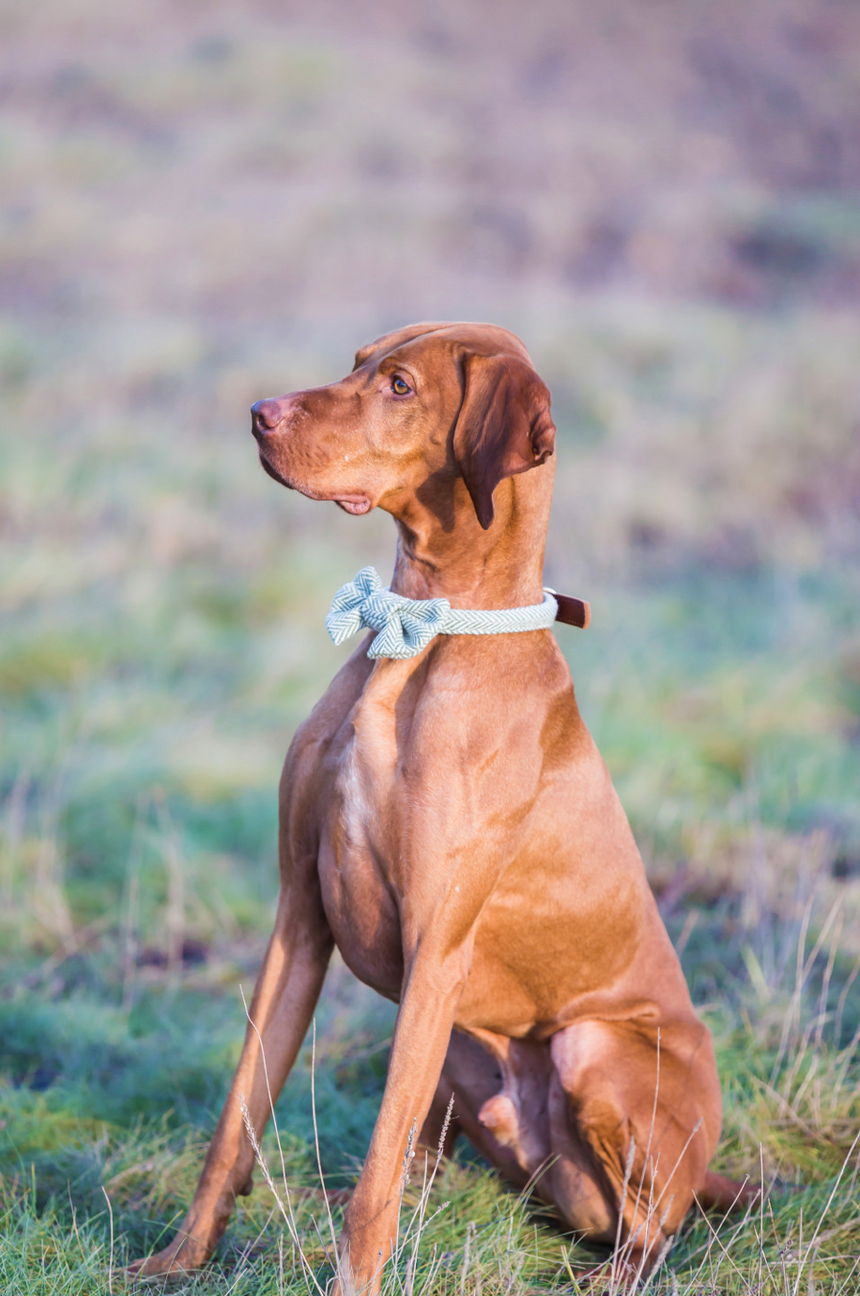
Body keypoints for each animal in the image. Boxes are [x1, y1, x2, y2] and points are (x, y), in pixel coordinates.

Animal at [129, 321, 751, 1285]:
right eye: (356, 362)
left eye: (399, 385)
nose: (258, 414)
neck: (420, 630)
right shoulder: (298, 920)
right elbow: (236, 1120)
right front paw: (179, 1259)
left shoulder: (435, 948)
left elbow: (374, 1178)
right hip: (463, 1053)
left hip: (586, 1046)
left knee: (653, 1230)